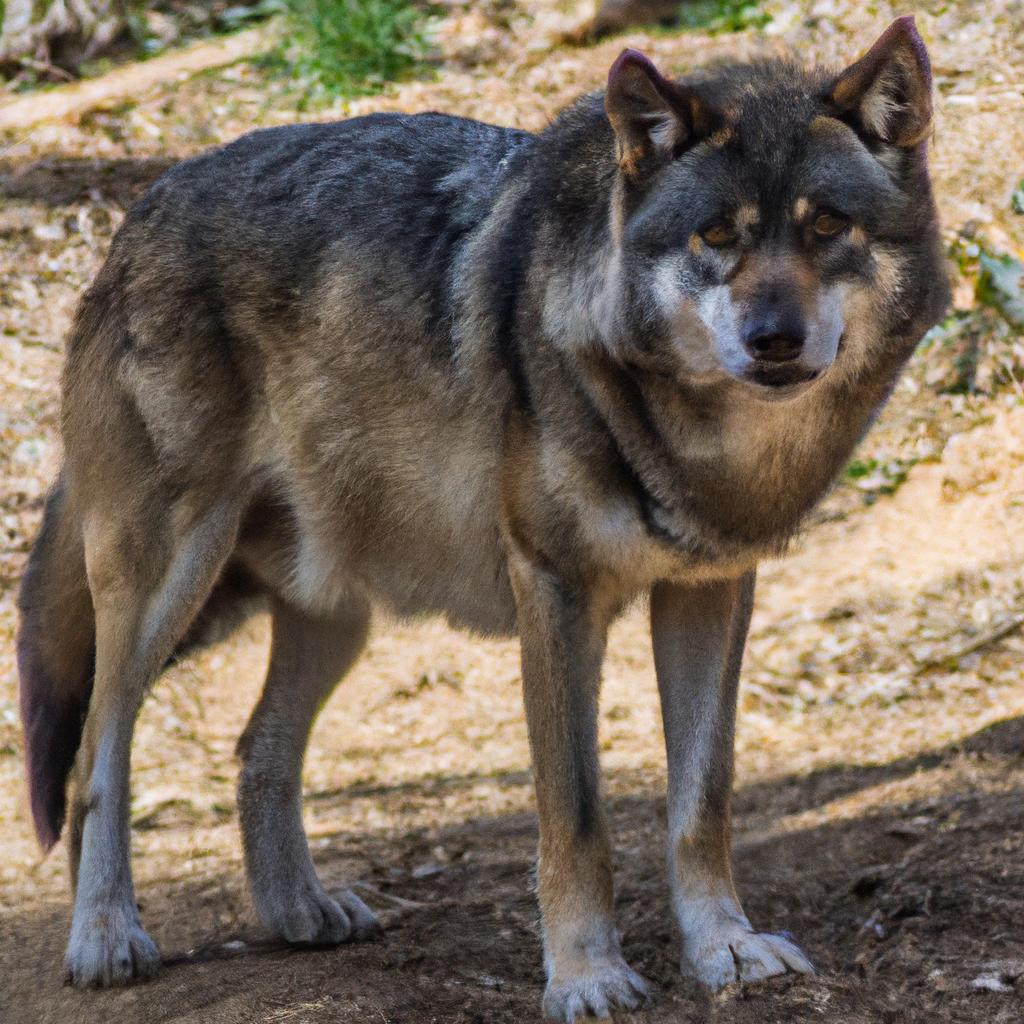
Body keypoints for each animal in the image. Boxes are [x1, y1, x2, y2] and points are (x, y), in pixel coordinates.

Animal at [19, 18, 950, 1024]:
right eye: (715, 236)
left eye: (827, 227)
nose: (773, 339)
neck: (698, 440)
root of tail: (137, 213)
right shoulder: (556, 595)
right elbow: (575, 819)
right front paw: (587, 977)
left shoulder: (710, 590)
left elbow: (701, 803)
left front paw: (724, 948)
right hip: (169, 584)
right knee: (95, 756)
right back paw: (105, 936)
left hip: (333, 608)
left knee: (258, 747)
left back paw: (298, 909)